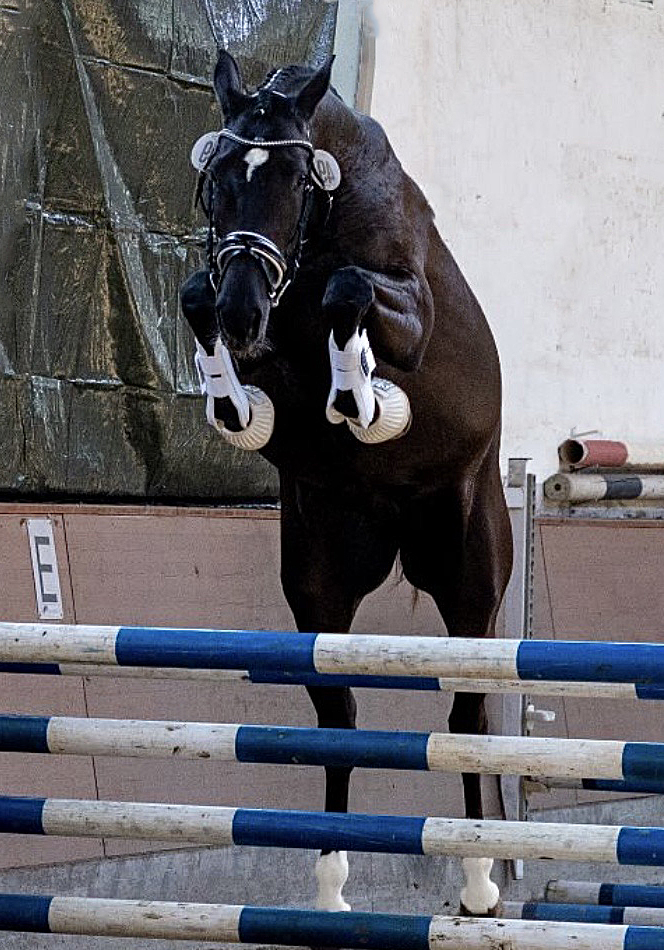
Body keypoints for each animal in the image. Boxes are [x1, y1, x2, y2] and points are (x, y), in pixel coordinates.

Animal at [179, 48, 510, 920]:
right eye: (216, 179)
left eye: (296, 182)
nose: (243, 313)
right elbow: (200, 303)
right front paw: (233, 400)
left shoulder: (405, 307)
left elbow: (349, 292)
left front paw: (363, 396)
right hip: (321, 578)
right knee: (338, 717)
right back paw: (329, 888)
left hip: (468, 577)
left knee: (466, 712)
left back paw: (478, 880)